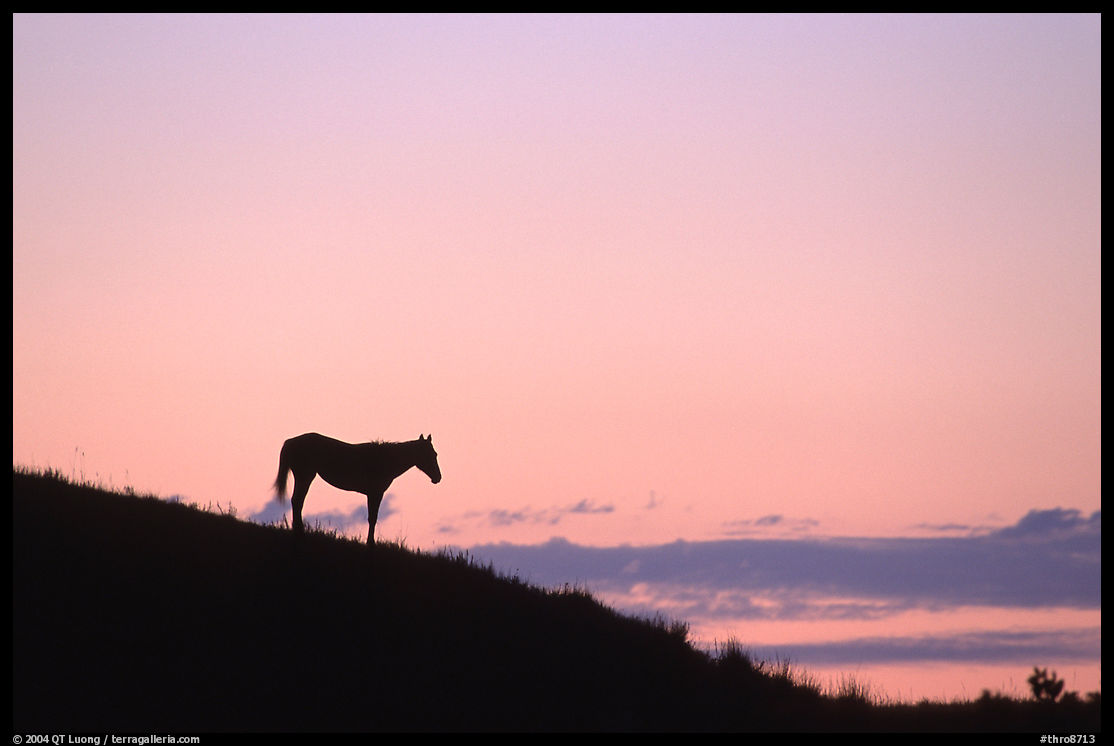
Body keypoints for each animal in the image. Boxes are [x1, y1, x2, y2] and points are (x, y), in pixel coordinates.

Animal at [273, 433, 441, 544]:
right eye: (432, 455)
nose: (438, 478)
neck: (385, 459)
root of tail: (291, 441)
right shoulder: (375, 493)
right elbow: (373, 518)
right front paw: (370, 544)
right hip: (305, 476)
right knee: (297, 501)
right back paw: (299, 531)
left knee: (297, 501)